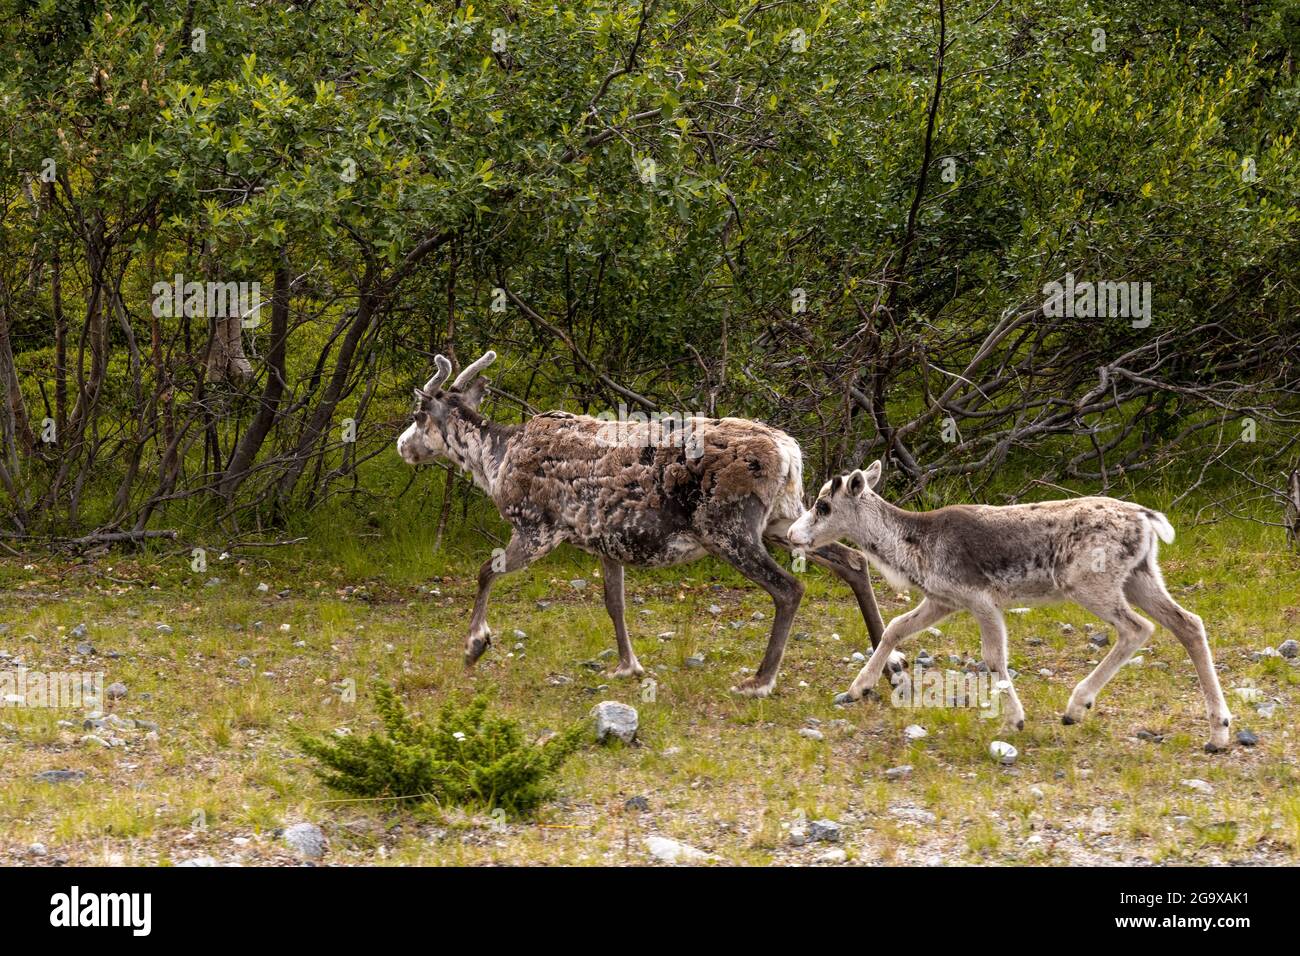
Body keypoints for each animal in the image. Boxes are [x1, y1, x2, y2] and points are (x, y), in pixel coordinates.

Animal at [785, 460, 1232, 749]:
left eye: (823, 505)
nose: (791, 534)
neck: (913, 550)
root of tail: (1146, 518)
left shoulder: (979, 597)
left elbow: (993, 656)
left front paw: (1015, 719)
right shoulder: (942, 599)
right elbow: (896, 627)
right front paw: (856, 688)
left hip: (1089, 581)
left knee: (1138, 628)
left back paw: (1076, 706)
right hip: (1141, 575)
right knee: (1188, 622)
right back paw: (1219, 732)